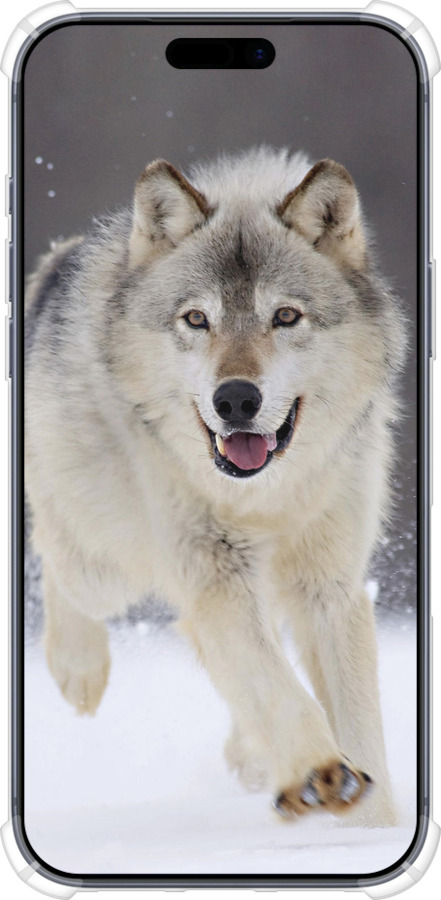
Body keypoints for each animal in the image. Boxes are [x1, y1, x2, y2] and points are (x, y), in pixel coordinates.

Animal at [25, 147, 405, 826]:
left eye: (285, 316)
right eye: (197, 319)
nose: (235, 400)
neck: (266, 497)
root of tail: (57, 261)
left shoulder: (329, 586)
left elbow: (357, 721)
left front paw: (373, 826)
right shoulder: (214, 574)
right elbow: (277, 687)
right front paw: (320, 773)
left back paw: (251, 757)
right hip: (108, 565)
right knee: (55, 555)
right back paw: (79, 671)